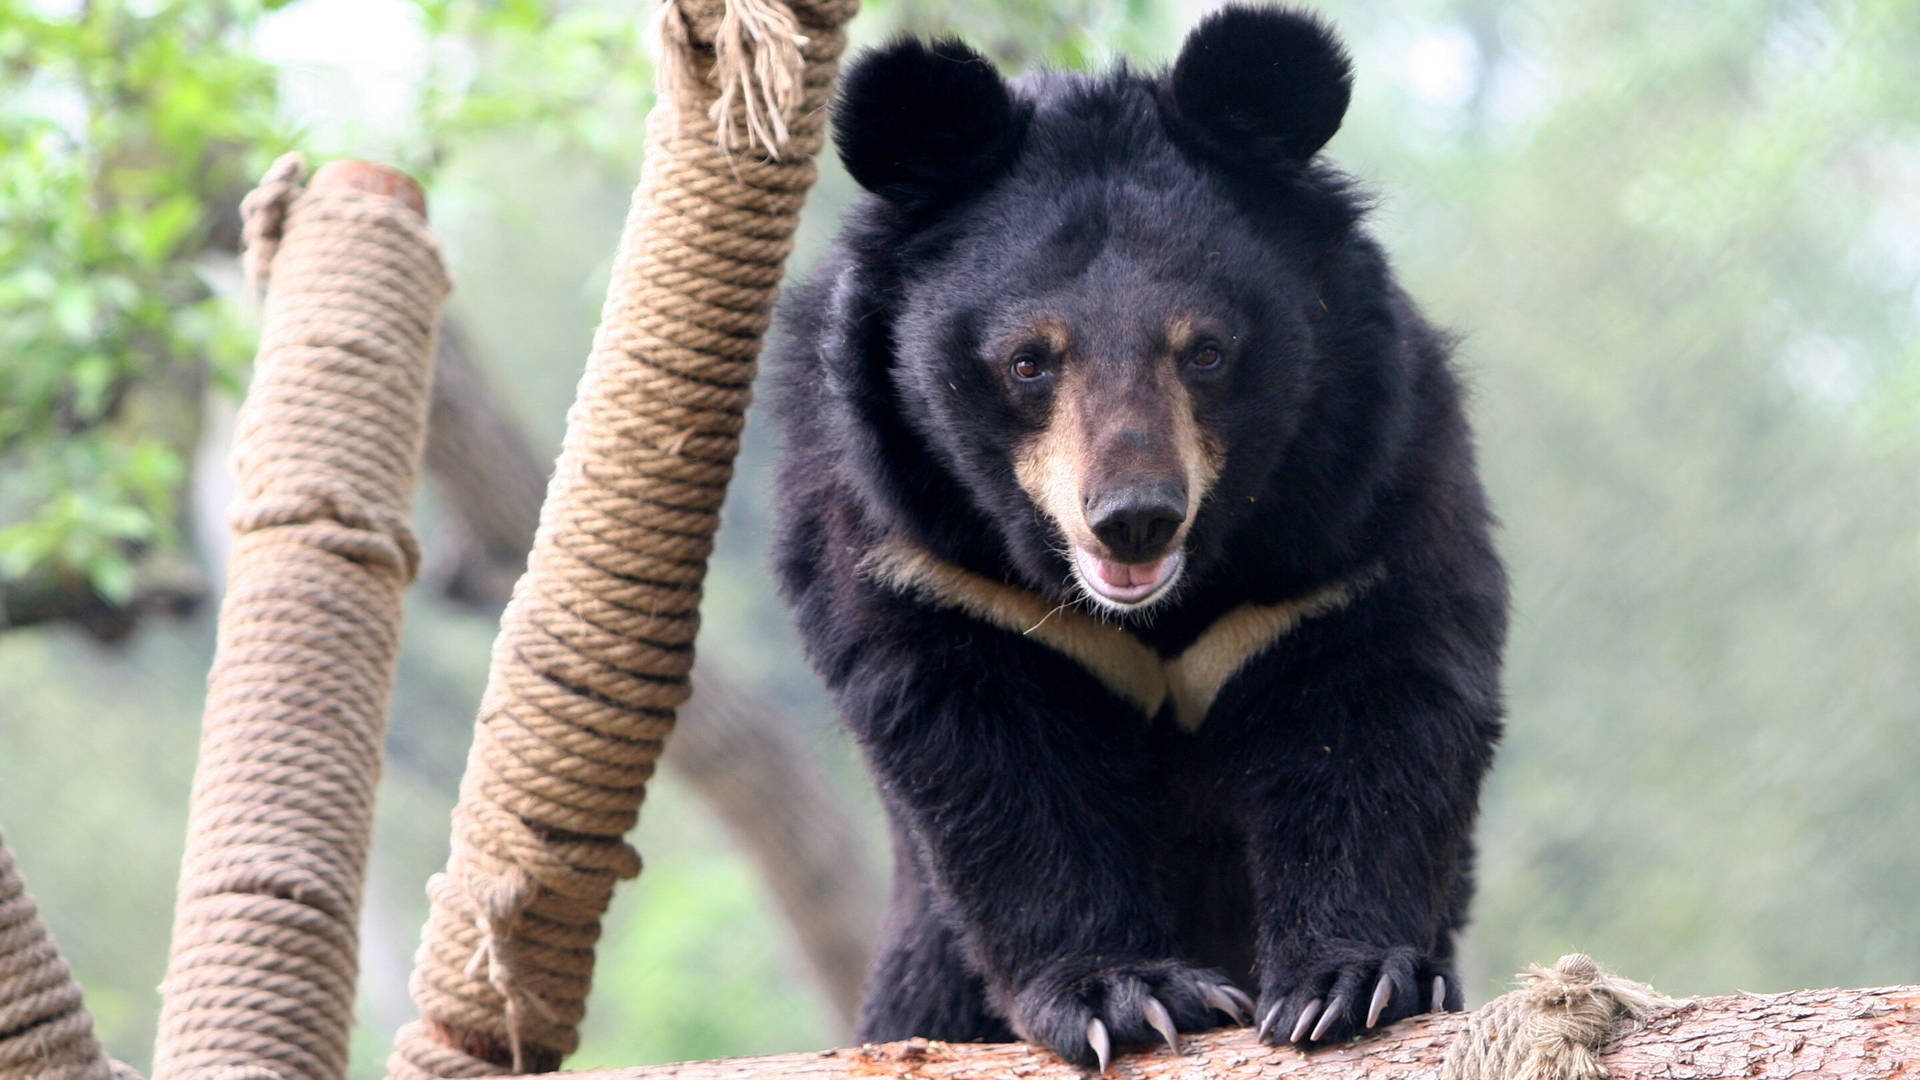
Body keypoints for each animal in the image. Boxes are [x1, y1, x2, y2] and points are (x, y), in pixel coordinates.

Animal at [771, 2, 1505, 1068]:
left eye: (1205, 351)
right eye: (1028, 362)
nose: (1133, 519)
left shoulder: (1359, 507)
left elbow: (1375, 707)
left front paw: (1354, 984)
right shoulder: (914, 548)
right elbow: (991, 758)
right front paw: (1128, 995)